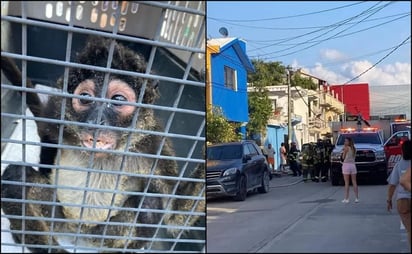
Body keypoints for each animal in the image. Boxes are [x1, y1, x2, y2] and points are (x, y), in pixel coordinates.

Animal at [0, 36, 205, 253]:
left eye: (117, 99)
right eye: (85, 98)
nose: (96, 120)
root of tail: (77, 231)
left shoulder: (153, 145)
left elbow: (175, 216)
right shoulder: (56, 116)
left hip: (102, 232)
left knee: (149, 205)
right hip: (58, 215)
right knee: (16, 179)